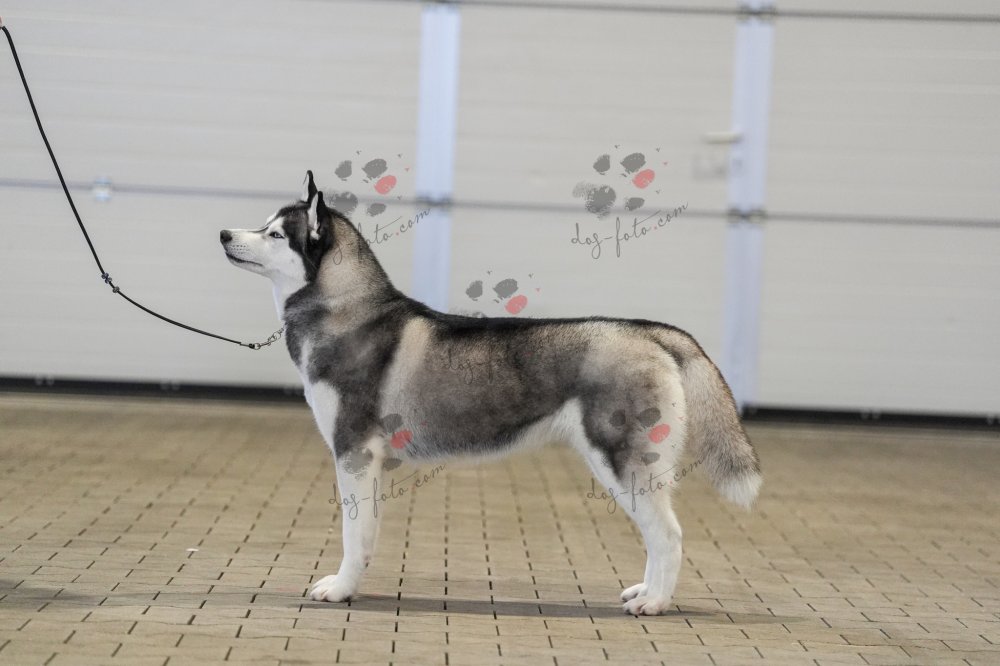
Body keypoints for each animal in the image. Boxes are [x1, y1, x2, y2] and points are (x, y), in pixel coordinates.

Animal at [220, 171, 762, 616]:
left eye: (275, 234)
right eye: (262, 224)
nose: (224, 233)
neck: (345, 311)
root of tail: (648, 330)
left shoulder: (353, 451)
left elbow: (355, 535)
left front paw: (340, 589)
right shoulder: (369, 461)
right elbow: (368, 532)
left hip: (622, 460)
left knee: (668, 535)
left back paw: (654, 603)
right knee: (658, 534)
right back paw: (644, 591)